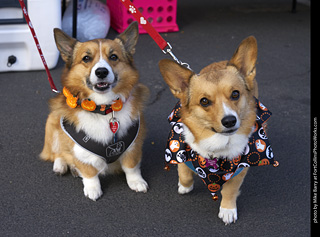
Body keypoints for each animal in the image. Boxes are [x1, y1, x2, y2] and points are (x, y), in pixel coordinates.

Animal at [40, 21, 150, 200]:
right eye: (86, 58)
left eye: (113, 57)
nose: (101, 72)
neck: (104, 109)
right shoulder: (80, 152)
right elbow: (89, 172)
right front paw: (92, 189)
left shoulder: (133, 146)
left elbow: (131, 167)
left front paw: (136, 182)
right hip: (52, 122)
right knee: (58, 152)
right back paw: (61, 165)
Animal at [159, 36, 272, 223]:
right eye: (204, 101)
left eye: (235, 94)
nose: (229, 121)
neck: (217, 144)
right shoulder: (179, 148)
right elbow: (184, 172)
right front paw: (184, 186)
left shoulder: (239, 169)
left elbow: (230, 190)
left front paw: (227, 210)